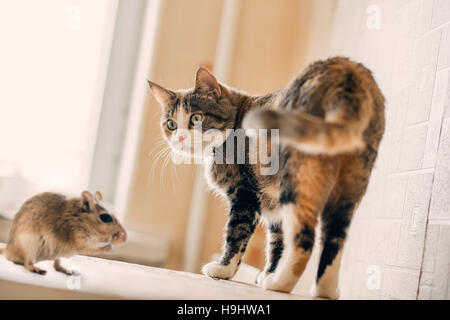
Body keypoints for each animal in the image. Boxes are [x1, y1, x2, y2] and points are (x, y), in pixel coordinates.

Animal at [148, 56, 384, 298]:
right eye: (171, 124)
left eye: (196, 118)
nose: (180, 138)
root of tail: (346, 72)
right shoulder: (272, 205)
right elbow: (276, 243)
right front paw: (267, 272)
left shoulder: (244, 194)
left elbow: (236, 233)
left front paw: (223, 270)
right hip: (350, 186)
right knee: (334, 239)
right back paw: (323, 291)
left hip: (296, 177)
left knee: (304, 240)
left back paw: (280, 283)